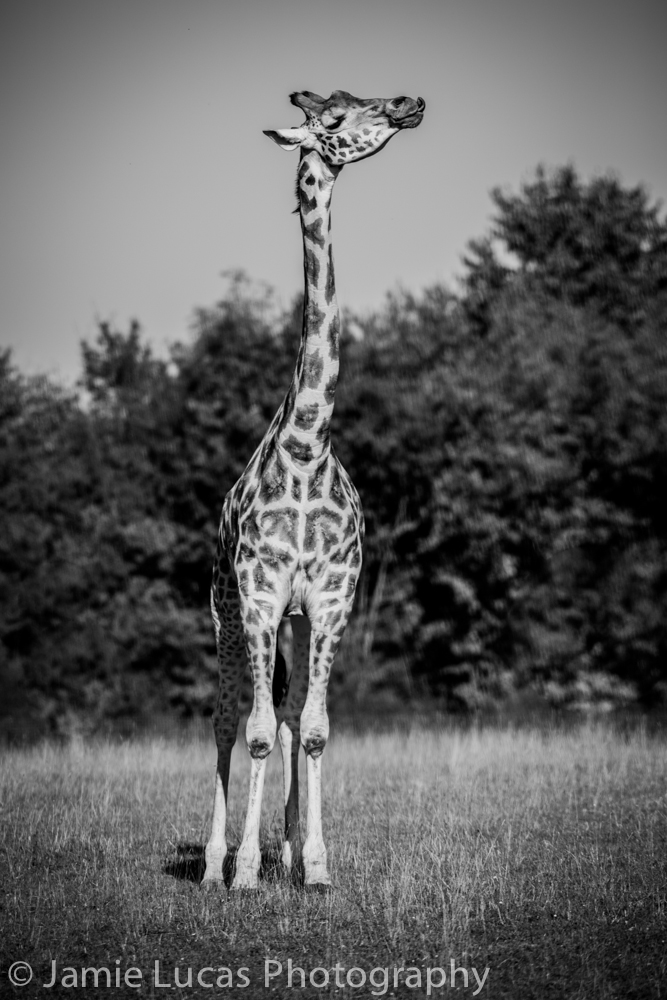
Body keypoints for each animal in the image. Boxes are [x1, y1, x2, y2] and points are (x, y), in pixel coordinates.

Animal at [202, 90, 425, 891]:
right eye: (331, 119)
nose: (408, 103)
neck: (306, 444)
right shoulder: (260, 596)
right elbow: (258, 732)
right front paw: (243, 872)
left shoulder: (329, 600)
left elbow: (316, 729)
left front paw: (317, 866)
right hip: (226, 612)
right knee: (229, 718)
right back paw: (215, 863)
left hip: (294, 621)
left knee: (294, 713)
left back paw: (290, 851)